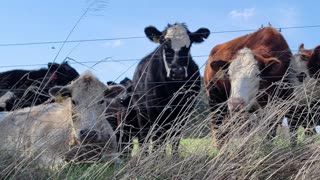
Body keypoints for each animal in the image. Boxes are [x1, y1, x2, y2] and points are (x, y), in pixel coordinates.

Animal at [131, 22, 210, 155]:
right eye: (164, 44)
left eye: (188, 46)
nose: (177, 71)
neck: (173, 88)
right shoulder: (154, 109)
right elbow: (157, 139)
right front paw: (157, 157)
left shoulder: (184, 111)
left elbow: (175, 138)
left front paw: (174, 157)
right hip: (141, 110)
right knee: (144, 136)